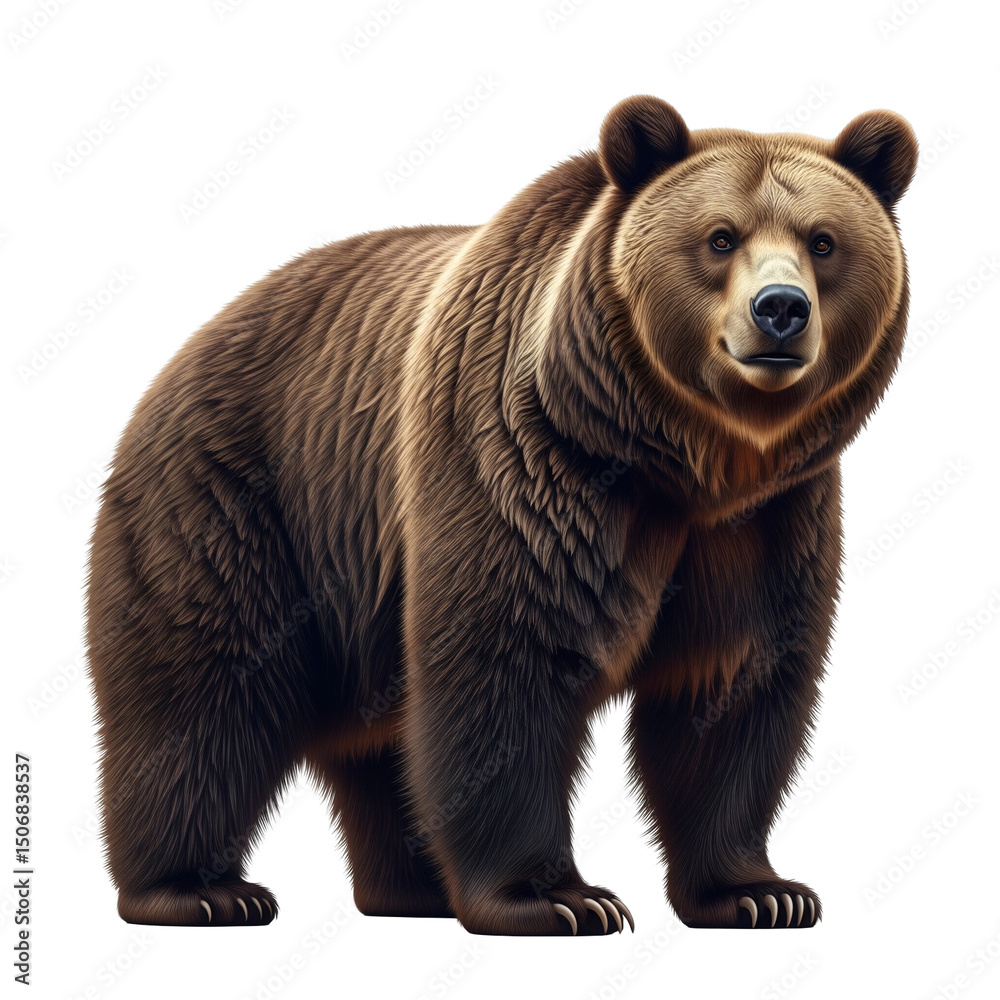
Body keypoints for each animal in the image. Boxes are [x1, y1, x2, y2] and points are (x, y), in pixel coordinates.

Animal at [85, 95, 917, 934]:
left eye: (823, 241)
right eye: (720, 236)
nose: (780, 310)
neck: (684, 459)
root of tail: (187, 348)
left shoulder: (766, 522)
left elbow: (734, 687)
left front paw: (760, 891)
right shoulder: (527, 465)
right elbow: (507, 662)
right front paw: (558, 898)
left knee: (379, 738)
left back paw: (411, 889)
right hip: (241, 503)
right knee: (205, 694)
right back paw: (200, 889)